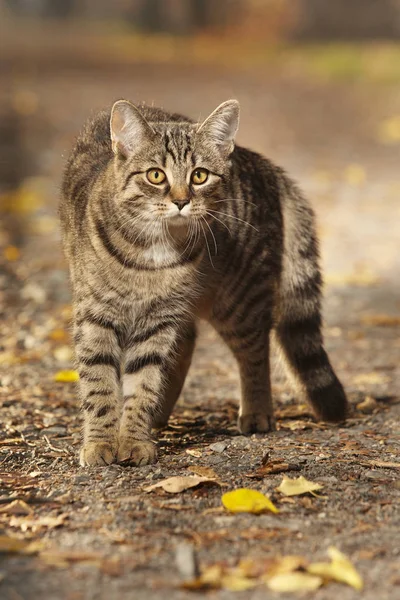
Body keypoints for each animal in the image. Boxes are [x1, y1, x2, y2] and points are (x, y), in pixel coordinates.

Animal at [59, 98, 346, 466]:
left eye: (199, 175)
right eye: (155, 175)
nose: (181, 201)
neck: (155, 251)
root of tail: (262, 163)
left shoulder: (159, 319)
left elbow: (143, 382)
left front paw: (134, 437)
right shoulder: (97, 315)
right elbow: (100, 383)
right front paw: (102, 441)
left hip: (237, 301)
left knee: (254, 351)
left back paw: (257, 411)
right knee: (188, 343)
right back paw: (160, 414)